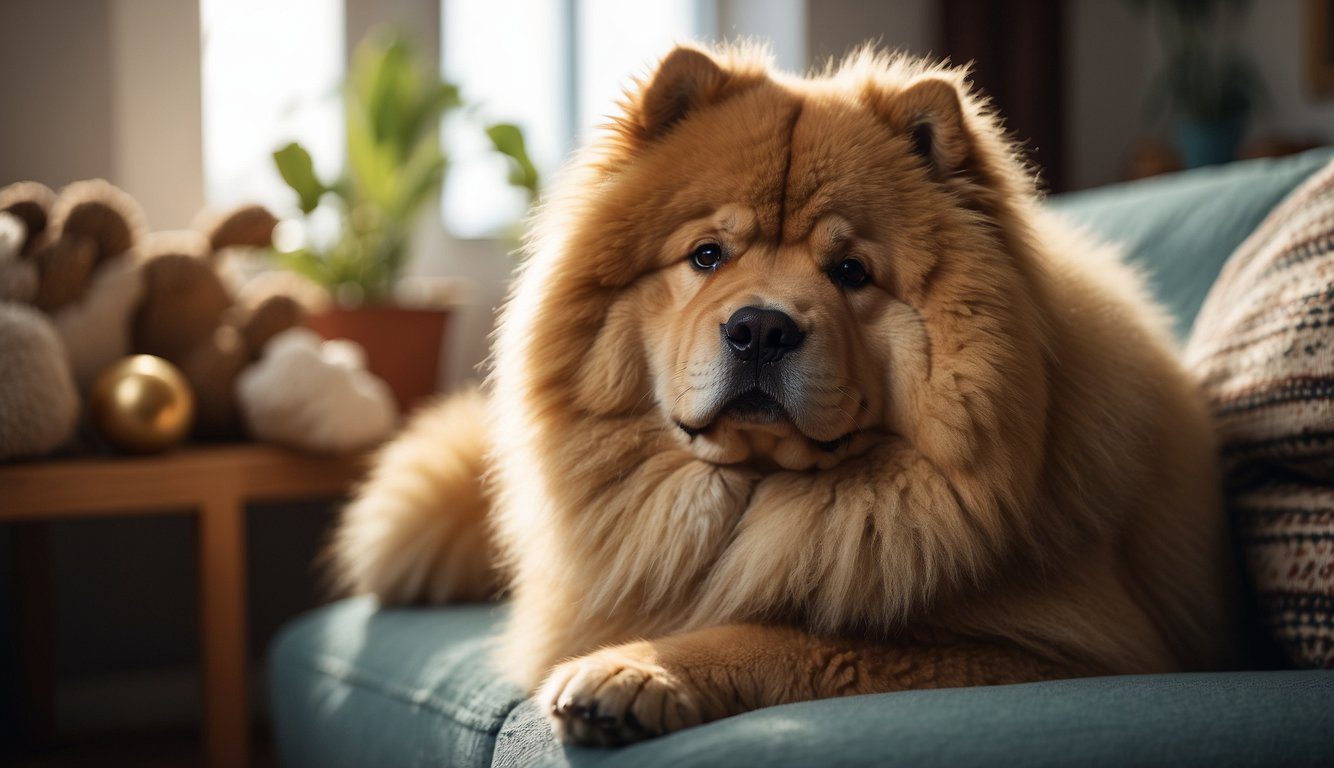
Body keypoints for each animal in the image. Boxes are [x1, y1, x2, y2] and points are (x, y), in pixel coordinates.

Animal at [328, 42, 1232, 746]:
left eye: (851, 271)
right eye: (707, 255)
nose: (760, 327)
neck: (759, 496)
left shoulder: (1071, 650)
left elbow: (781, 635)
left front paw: (634, 672)